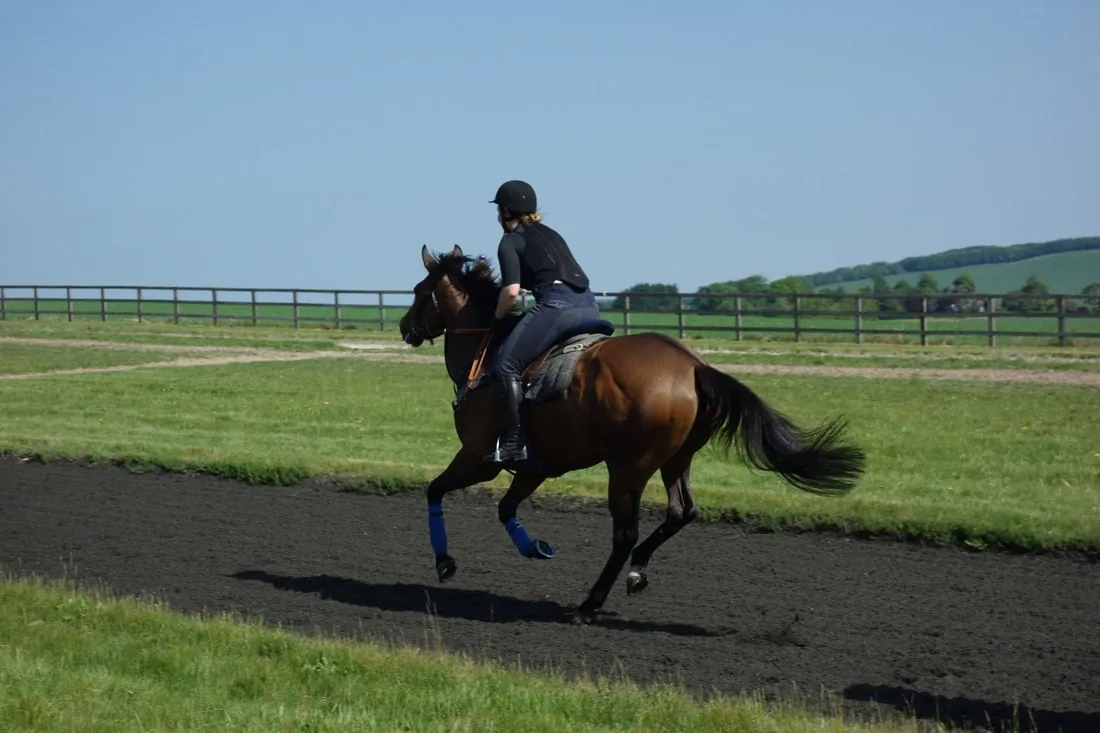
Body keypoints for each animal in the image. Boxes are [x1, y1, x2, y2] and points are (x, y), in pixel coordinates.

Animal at [398, 244, 865, 625]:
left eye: (419, 291)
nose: (405, 327)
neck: (486, 351)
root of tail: (694, 366)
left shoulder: (478, 458)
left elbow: (435, 490)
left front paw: (444, 561)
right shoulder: (534, 466)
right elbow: (504, 508)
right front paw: (534, 547)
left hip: (627, 468)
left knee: (625, 534)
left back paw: (591, 603)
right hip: (676, 459)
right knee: (681, 512)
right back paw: (637, 571)